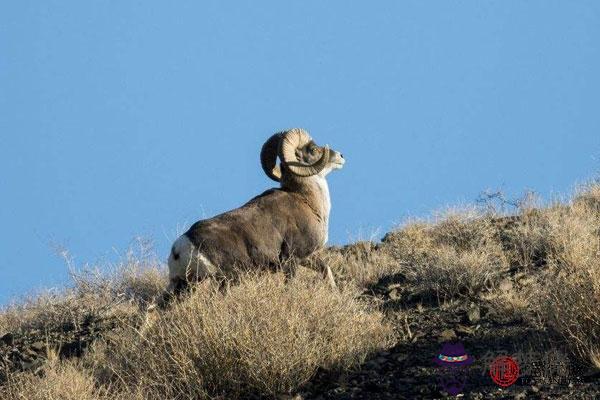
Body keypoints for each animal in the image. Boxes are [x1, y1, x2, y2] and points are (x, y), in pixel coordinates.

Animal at [166, 128, 344, 294]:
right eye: (313, 150)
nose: (341, 156)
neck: (308, 201)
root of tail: (181, 247)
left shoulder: (307, 257)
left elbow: (326, 269)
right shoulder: (292, 260)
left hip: (183, 286)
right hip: (224, 280)